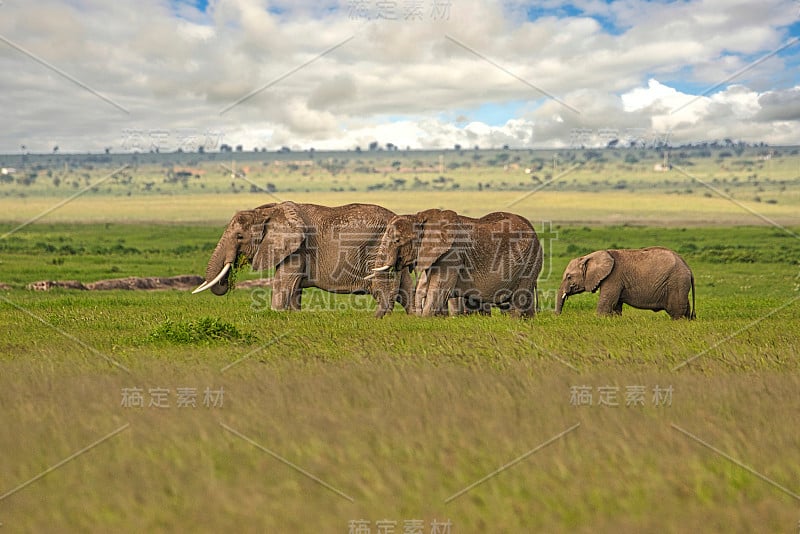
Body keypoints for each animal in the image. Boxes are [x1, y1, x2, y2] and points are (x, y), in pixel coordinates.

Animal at [192, 203, 412, 316]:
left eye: (239, 237)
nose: (227, 282)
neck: (266, 212)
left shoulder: (299, 248)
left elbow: (282, 283)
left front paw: (276, 314)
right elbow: (294, 288)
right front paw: (294, 315)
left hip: (379, 250)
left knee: (382, 288)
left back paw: (378, 318)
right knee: (405, 289)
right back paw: (415, 316)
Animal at [368, 209, 544, 318]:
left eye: (397, 240)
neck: (420, 217)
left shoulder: (452, 253)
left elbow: (438, 287)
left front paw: (424, 319)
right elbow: (424, 287)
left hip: (530, 260)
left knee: (519, 298)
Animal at [556, 248, 692, 320]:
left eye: (569, 277)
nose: (558, 317)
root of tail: (688, 267)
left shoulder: (613, 277)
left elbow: (606, 304)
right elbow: (615, 305)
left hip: (676, 282)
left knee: (676, 311)